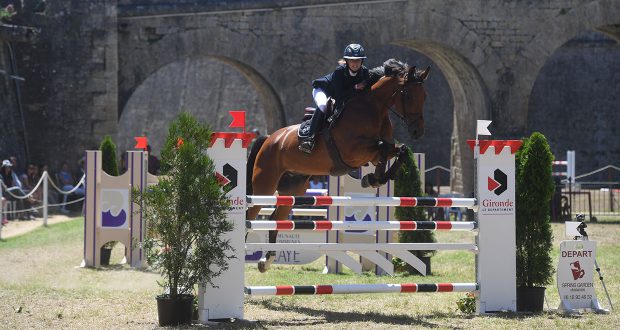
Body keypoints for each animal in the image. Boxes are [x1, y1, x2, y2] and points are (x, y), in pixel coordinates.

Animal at [245, 60, 428, 274]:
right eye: (408, 95)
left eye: (424, 96)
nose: (417, 131)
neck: (373, 108)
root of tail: (270, 138)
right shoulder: (353, 152)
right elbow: (382, 147)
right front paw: (372, 178)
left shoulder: (378, 151)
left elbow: (399, 150)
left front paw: (375, 178)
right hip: (264, 185)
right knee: (251, 214)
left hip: (293, 188)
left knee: (276, 217)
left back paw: (266, 260)